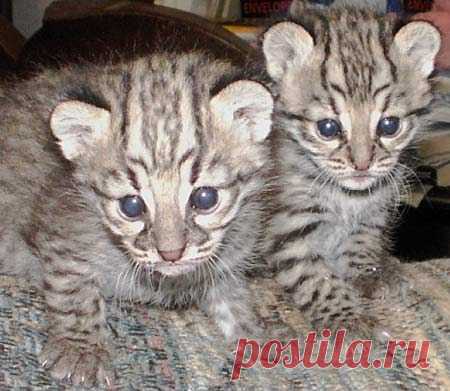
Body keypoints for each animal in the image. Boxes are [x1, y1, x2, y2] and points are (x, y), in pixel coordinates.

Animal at [0, 53, 274, 388]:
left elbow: (233, 295)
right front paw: (82, 348)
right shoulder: (63, 232)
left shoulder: (227, 259)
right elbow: (73, 289)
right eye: (131, 206)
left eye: (205, 198)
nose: (171, 254)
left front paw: (254, 337)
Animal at [262, 5, 442, 336]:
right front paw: (346, 317)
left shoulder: (374, 212)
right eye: (328, 128)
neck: (347, 198)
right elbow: (315, 278)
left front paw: (368, 273)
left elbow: (362, 243)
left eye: (389, 125)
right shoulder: (288, 227)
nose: (362, 164)